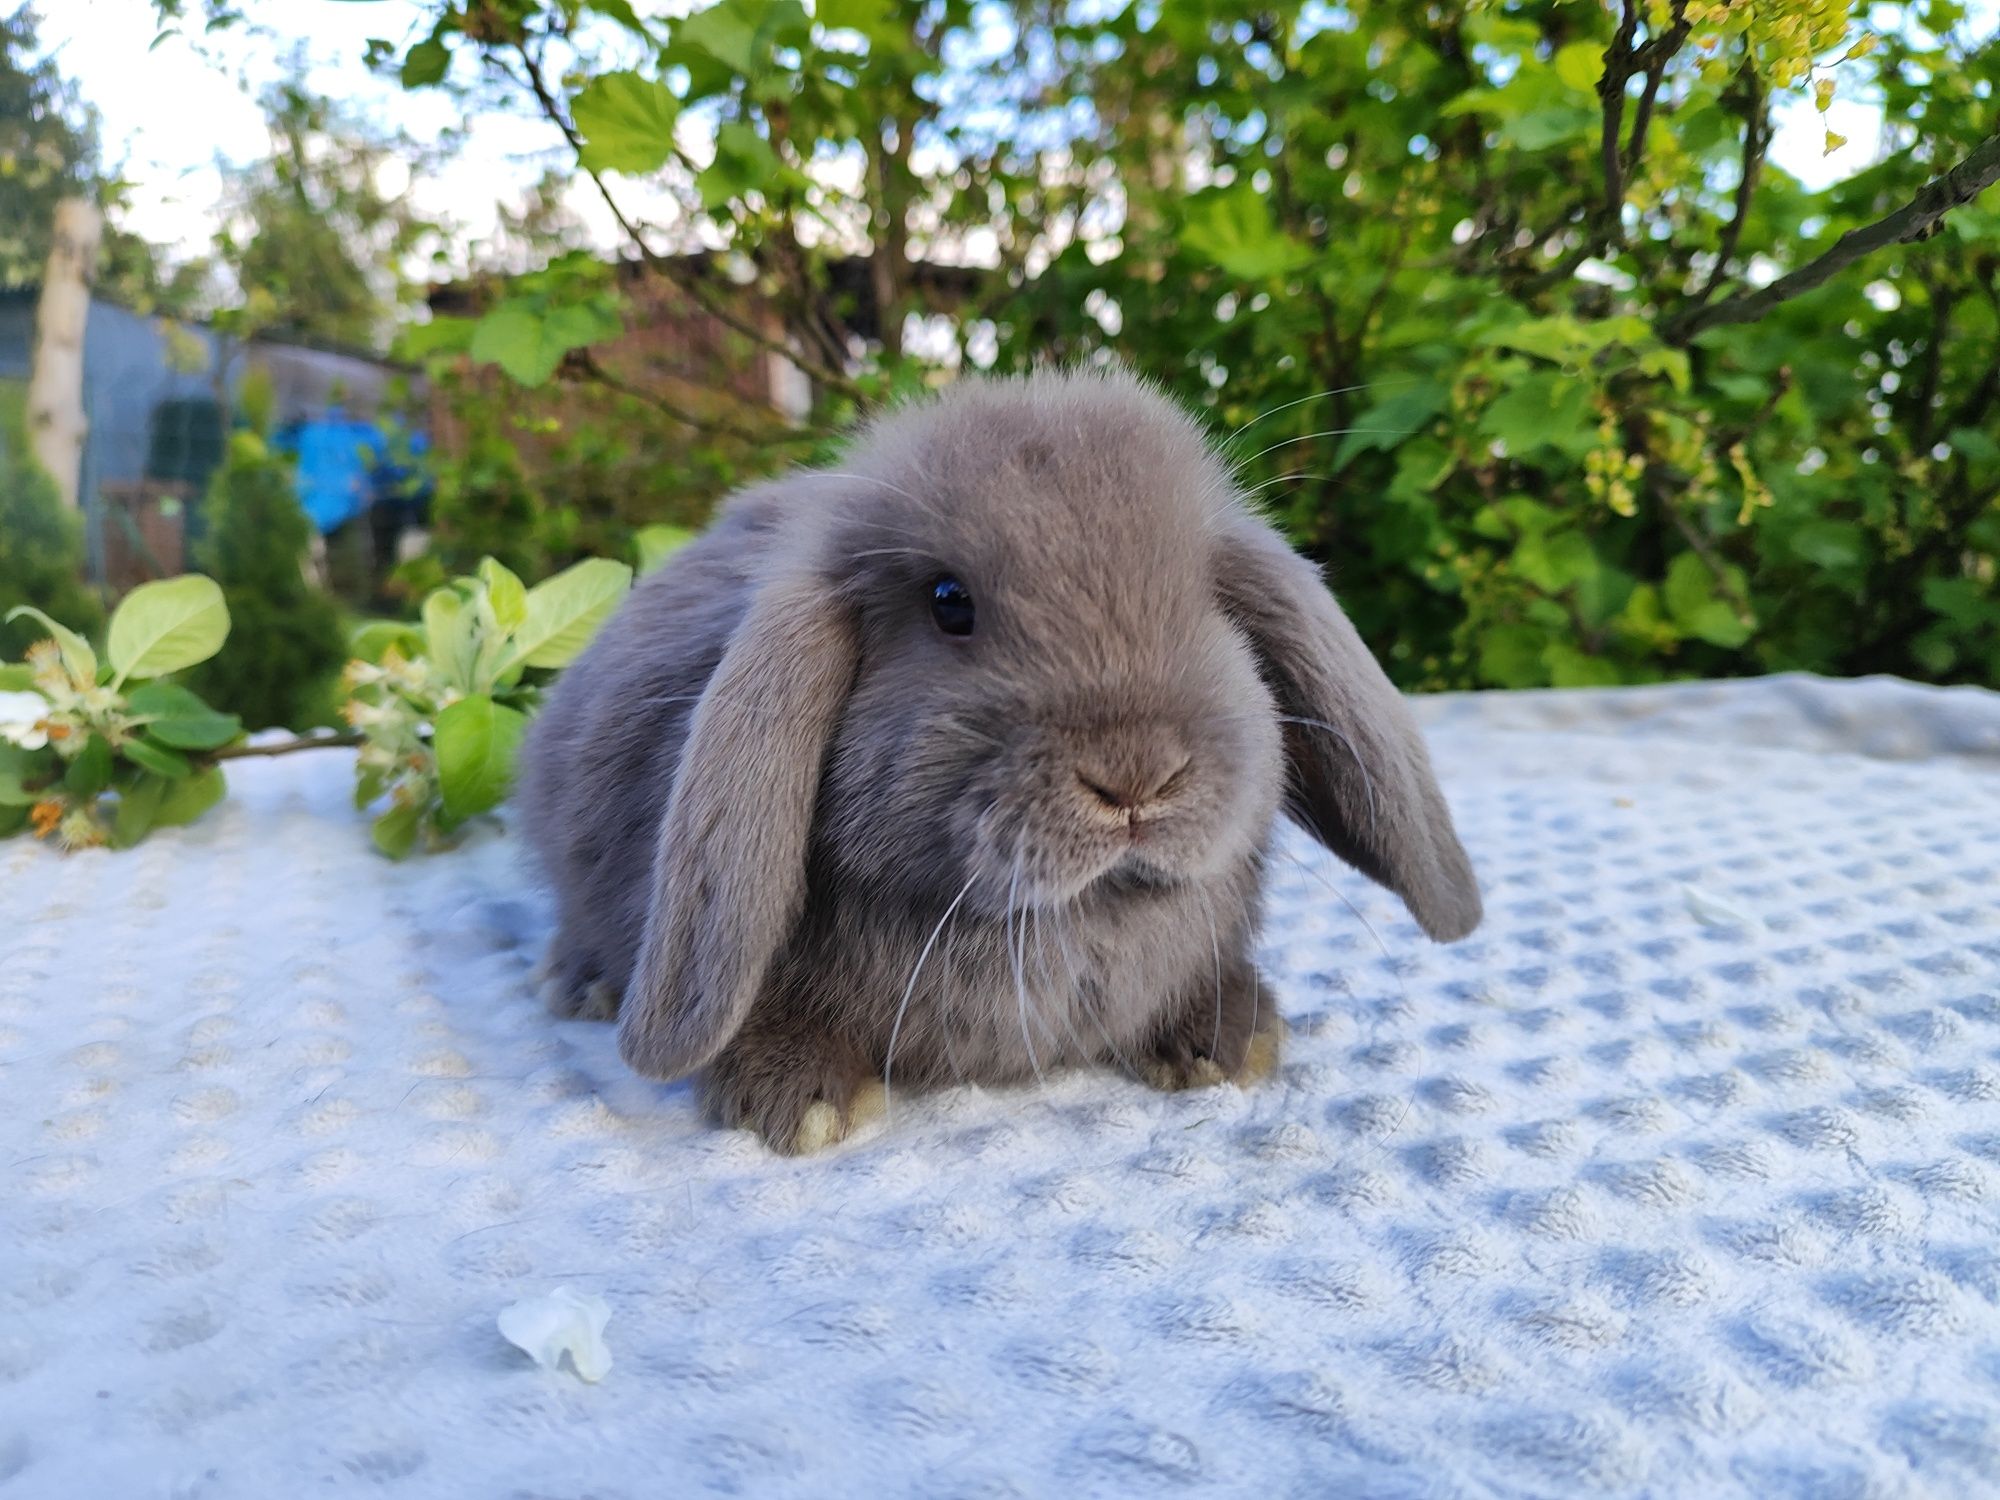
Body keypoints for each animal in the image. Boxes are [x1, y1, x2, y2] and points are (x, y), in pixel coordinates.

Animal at [516, 370, 1488, 1160]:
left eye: (1207, 600)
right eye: (950, 604)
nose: (1137, 779)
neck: (1070, 919)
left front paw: (1229, 1040)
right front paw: (805, 1102)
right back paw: (584, 986)